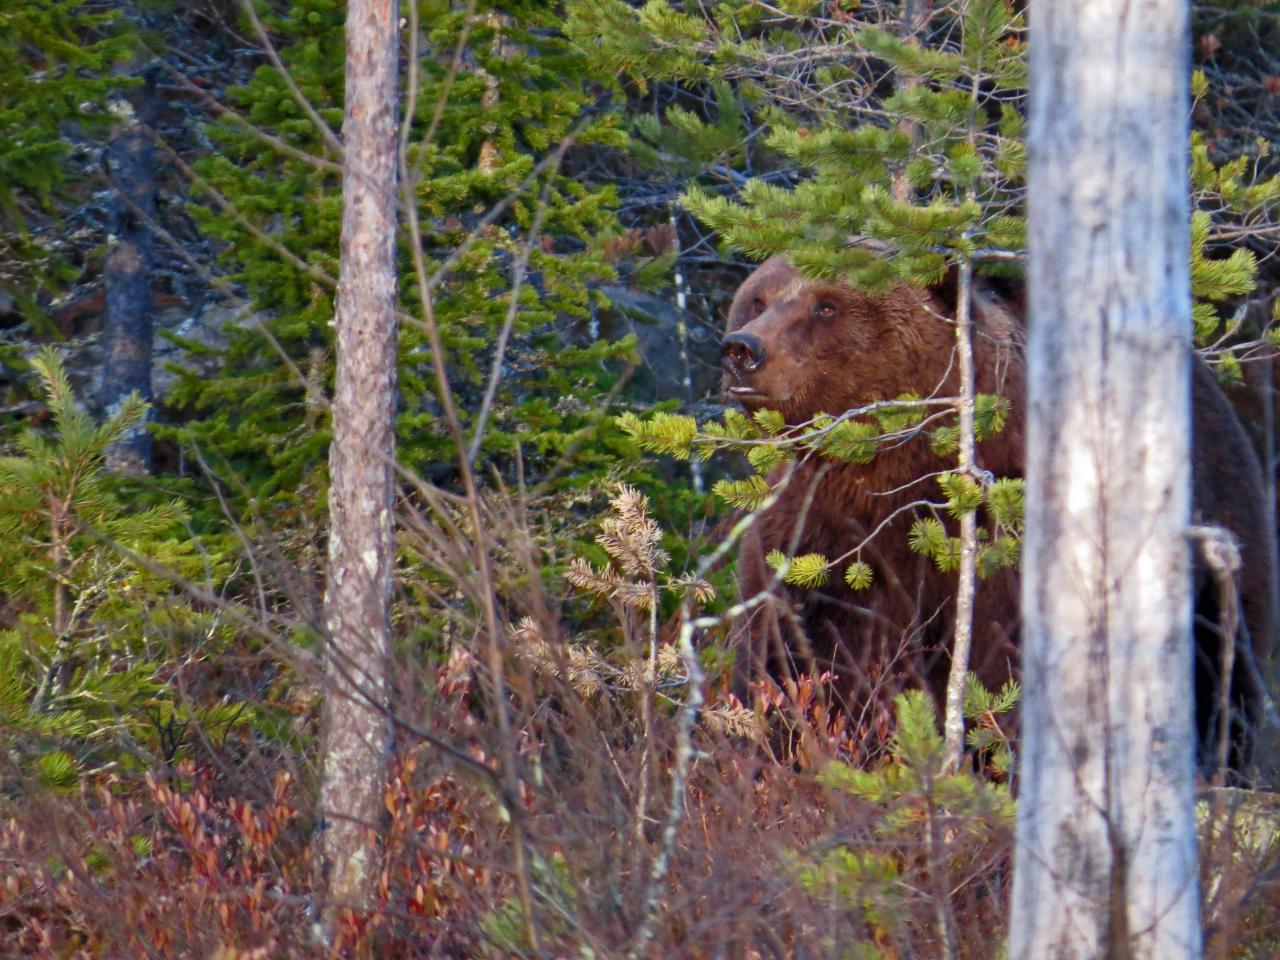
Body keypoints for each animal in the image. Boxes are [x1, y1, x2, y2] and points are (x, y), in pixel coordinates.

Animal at [727, 253, 1274, 768]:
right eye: (759, 298)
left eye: (826, 305)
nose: (742, 349)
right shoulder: (819, 536)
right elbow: (791, 648)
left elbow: (1001, 670)